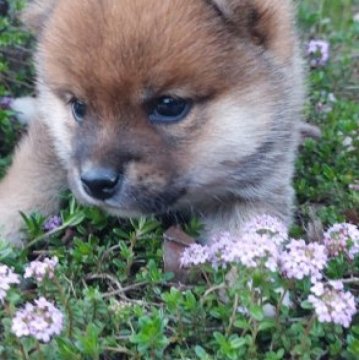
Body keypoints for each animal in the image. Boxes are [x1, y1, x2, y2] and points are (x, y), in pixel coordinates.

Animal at [0, 0, 306, 245]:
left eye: (169, 106)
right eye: (78, 106)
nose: (96, 182)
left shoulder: (254, 191)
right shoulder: (49, 142)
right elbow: (29, 182)